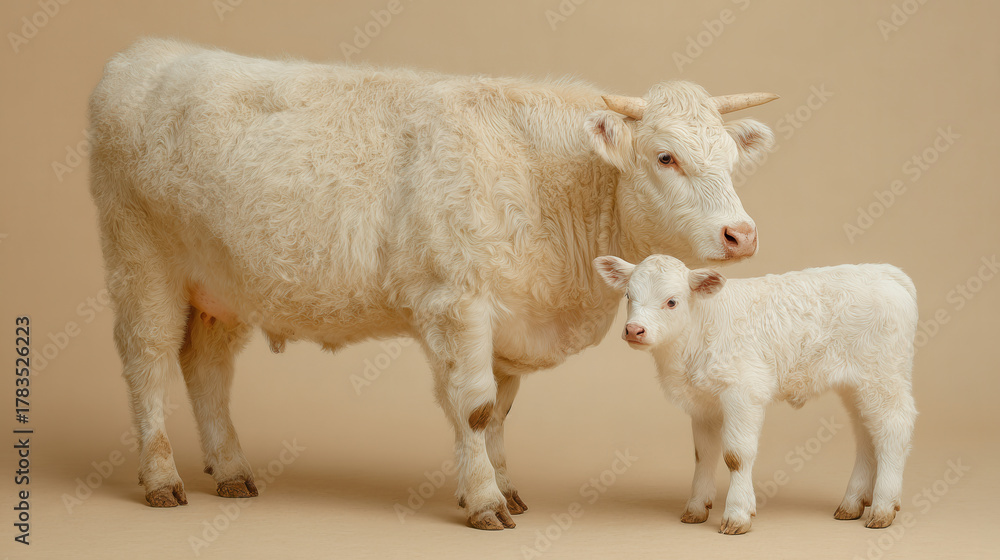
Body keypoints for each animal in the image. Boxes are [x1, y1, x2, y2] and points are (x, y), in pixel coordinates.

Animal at [87, 38, 777, 530]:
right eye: (665, 157)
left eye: (731, 158)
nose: (742, 234)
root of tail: (145, 54)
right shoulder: (457, 304)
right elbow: (472, 408)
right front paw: (485, 502)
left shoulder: (508, 321)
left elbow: (498, 412)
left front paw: (506, 487)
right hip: (140, 260)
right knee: (147, 360)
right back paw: (161, 478)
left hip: (221, 287)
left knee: (206, 368)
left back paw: (230, 470)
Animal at [594, 254, 918, 534]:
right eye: (628, 296)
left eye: (672, 301)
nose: (634, 329)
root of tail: (884, 271)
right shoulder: (703, 402)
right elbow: (703, 455)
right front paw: (696, 508)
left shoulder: (743, 392)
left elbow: (736, 456)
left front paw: (737, 514)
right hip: (856, 386)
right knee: (866, 434)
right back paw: (852, 503)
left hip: (883, 377)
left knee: (893, 430)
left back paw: (883, 508)